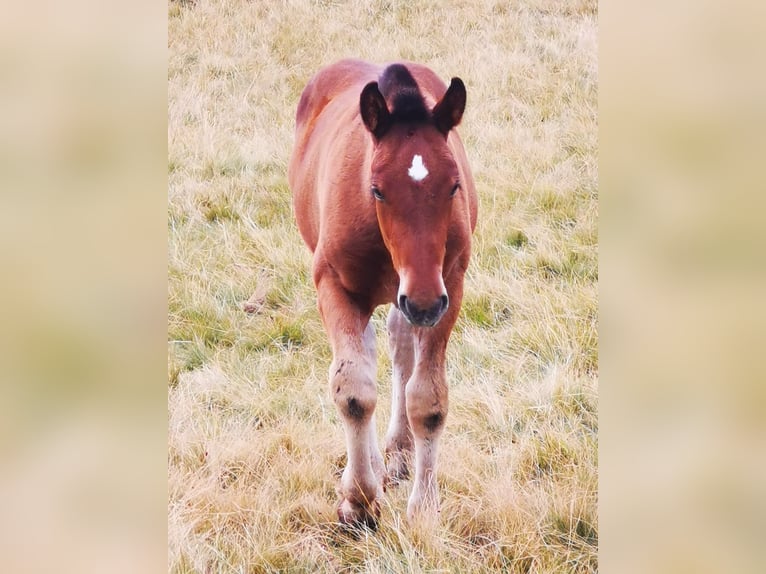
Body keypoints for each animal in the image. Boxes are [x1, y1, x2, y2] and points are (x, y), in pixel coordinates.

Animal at [290, 59, 476, 532]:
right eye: (376, 189)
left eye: (453, 186)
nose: (424, 301)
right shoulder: (334, 286)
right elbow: (354, 391)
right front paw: (358, 501)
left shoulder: (449, 288)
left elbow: (427, 400)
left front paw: (424, 509)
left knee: (399, 344)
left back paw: (399, 452)